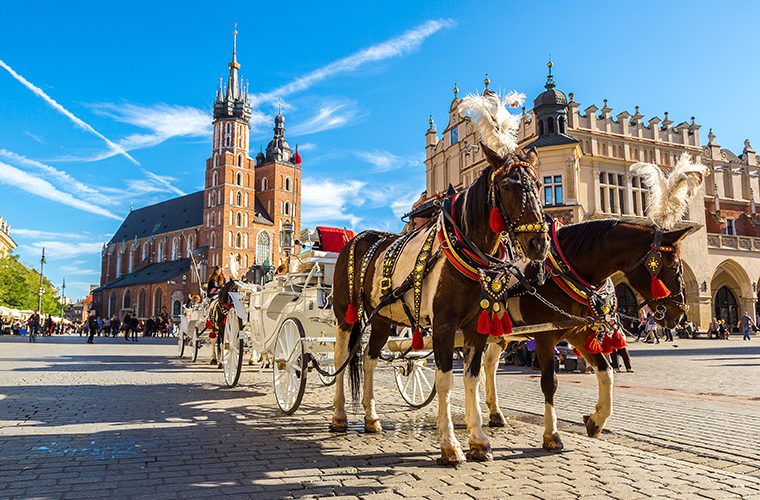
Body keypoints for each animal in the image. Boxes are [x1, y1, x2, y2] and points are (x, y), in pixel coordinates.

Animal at [330, 145, 548, 464]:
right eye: (508, 186)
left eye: (540, 185)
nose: (539, 244)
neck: (466, 251)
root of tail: (359, 238)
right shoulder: (444, 326)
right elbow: (445, 380)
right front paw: (450, 444)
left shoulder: (476, 328)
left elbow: (473, 378)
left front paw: (478, 440)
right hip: (345, 315)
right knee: (341, 359)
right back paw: (339, 416)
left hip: (381, 318)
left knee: (369, 360)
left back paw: (371, 418)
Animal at [484, 219, 692, 450]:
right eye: (674, 267)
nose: (679, 314)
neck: (561, 273)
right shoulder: (545, 336)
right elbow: (549, 383)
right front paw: (551, 434)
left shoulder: (579, 332)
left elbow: (606, 371)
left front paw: (596, 420)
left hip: (498, 334)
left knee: (489, 365)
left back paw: (495, 413)